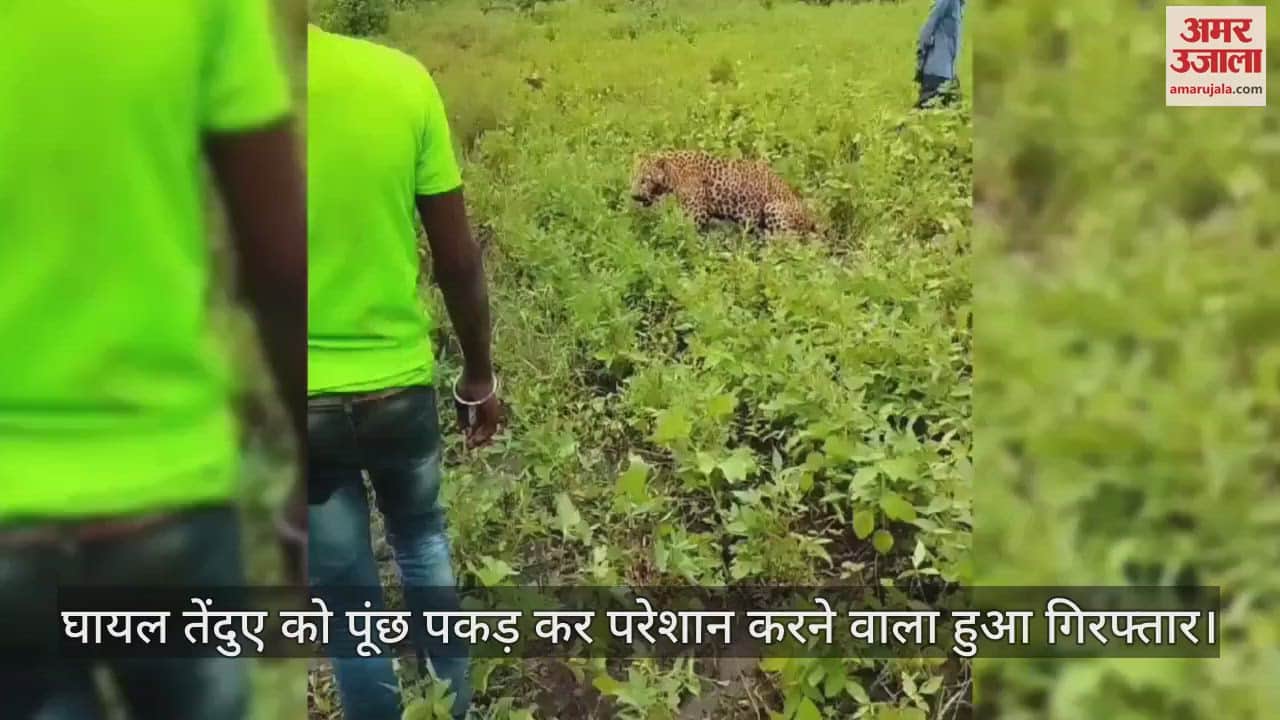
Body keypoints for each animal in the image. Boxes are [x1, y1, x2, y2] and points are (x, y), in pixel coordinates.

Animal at [629, 150, 820, 235]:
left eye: (645, 180)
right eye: (633, 178)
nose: (634, 195)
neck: (674, 175)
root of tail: (809, 217)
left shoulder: (697, 214)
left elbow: (680, 227)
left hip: (773, 207)